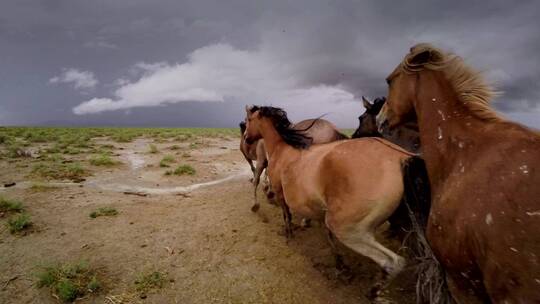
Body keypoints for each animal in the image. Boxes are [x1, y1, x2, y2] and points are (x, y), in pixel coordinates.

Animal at [246, 105, 418, 278]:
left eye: (249, 119)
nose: (246, 138)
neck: (281, 149)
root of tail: (400, 156)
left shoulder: (280, 193)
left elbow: (286, 215)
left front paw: (289, 235)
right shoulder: (321, 208)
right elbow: (327, 236)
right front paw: (339, 262)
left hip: (347, 228)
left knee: (394, 262)